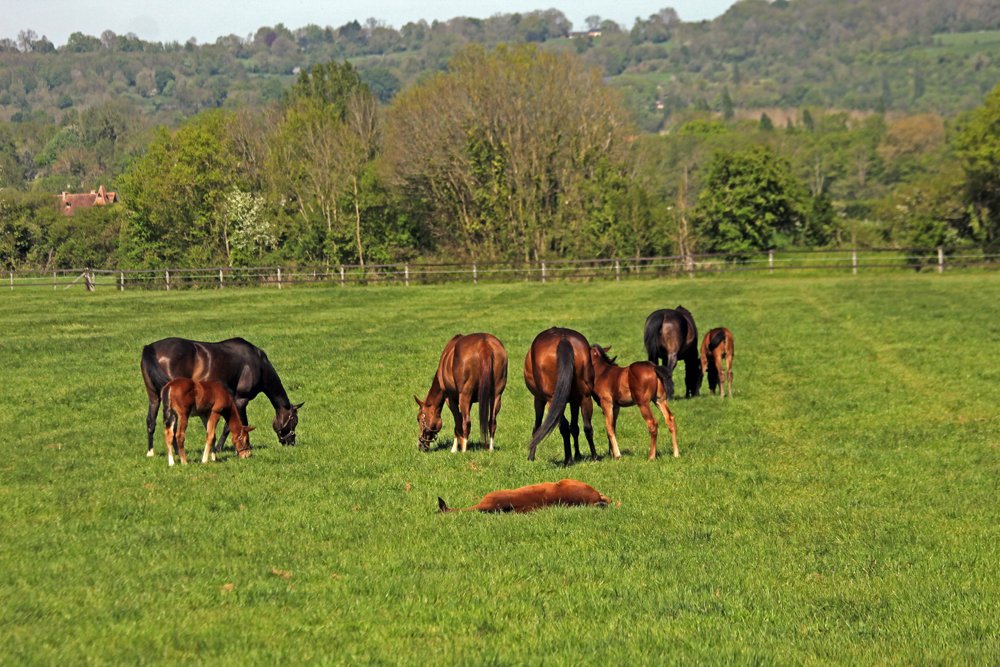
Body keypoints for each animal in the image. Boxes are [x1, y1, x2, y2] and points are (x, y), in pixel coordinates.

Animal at [141, 337, 302, 457]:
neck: (257, 363)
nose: (291, 443)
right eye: (294, 421)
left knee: (151, 421)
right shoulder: (241, 400)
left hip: (154, 398)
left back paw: (151, 452)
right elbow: (232, 426)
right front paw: (222, 448)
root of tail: (150, 348)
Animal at [523, 327, 597, 465]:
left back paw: (568, 460)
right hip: (585, 397)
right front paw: (578, 455)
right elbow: (575, 427)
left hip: (551, 400)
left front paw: (531, 456)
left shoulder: (539, 399)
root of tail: (563, 339)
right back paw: (594, 457)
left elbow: (537, 426)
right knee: (587, 427)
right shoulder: (575, 400)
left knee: (563, 427)